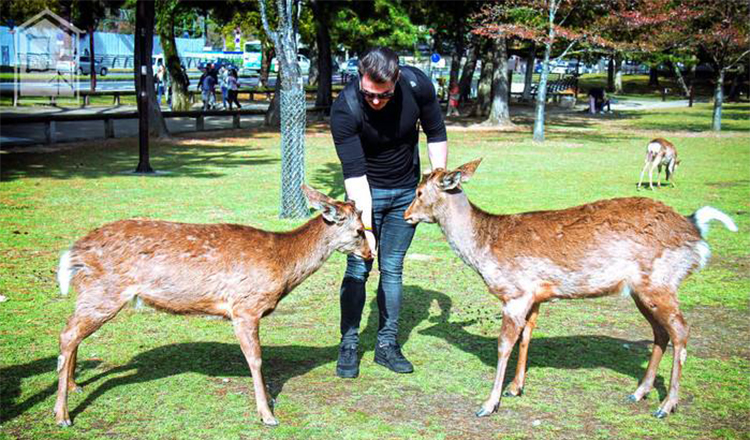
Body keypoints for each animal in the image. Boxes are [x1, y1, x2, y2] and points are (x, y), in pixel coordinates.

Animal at [53, 185, 374, 426]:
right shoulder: (245, 306)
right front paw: (267, 414)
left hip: (93, 294)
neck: (282, 265)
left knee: (72, 331)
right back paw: (62, 415)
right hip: (104, 292)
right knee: (68, 334)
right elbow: (256, 359)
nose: (371, 254)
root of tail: (75, 251)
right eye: (359, 230)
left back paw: (75, 385)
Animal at [406, 158, 740, 420]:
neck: (484, 249)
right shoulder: (536, 296)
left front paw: (489, 404)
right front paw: (516, 388)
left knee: (681, 330)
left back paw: (667, 405)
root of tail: (695, 230)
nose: (407, 215)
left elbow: (504, 344)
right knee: (661, 332)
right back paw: (639, 392)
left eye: (419, 192)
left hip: (661, 282)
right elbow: (526, 337)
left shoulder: (515, 292)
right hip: (641, 291)